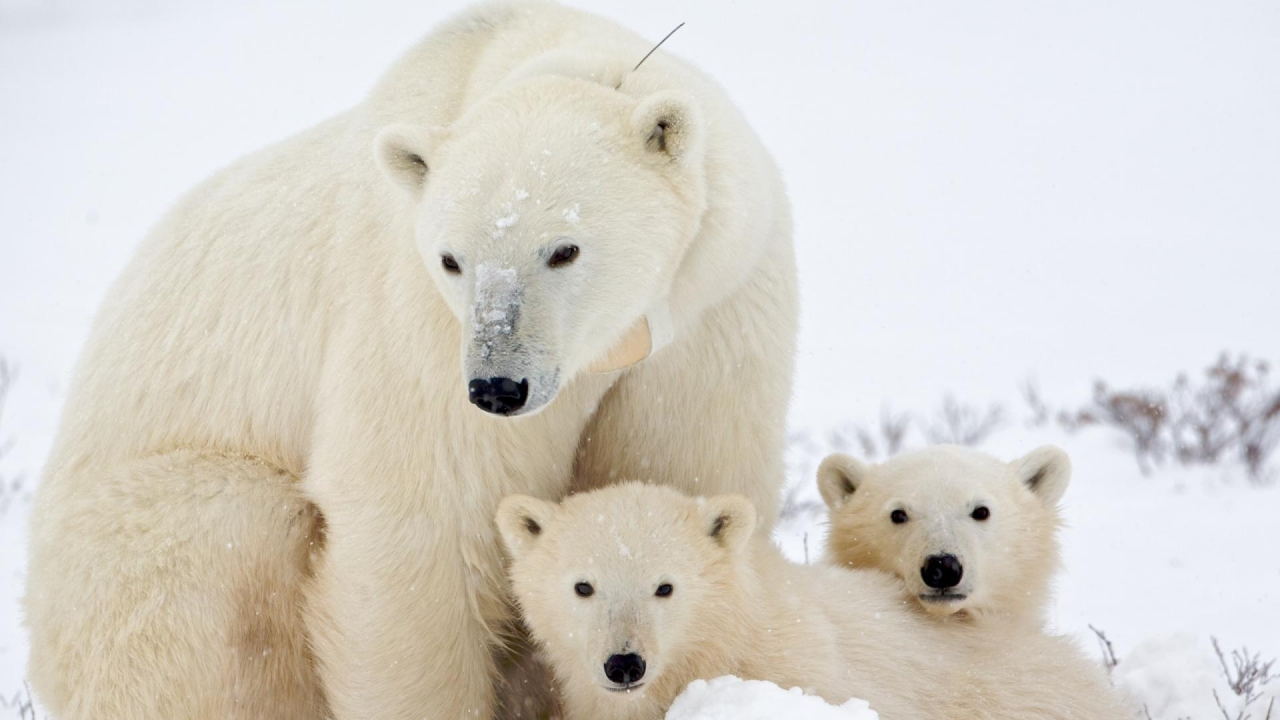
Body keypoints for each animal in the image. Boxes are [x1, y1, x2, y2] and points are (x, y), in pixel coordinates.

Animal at [24, 2, 793, 712]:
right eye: (452, 259)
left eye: (564, 248)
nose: (497, 386)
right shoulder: (412, 316)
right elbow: (421, 521)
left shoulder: (710, 313)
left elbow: (679, 471)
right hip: (132, 548)